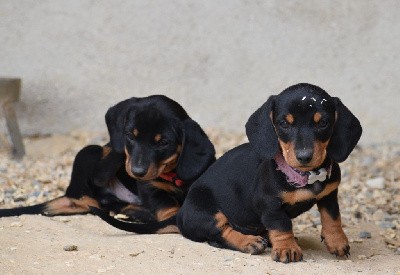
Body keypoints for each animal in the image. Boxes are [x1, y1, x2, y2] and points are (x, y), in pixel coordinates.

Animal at [0, 96, 216, 234]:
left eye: (163, 142)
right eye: (130, 136)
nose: (137, 172)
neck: (172, 175)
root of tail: (70, 193)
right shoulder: (151, 189)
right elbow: (167, 206)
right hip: (89, 152)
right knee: (96, 183)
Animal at [177, 83, 360, 264]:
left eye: (323, 122)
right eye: (284, 124)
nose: (304, 157)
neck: (306, 176)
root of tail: (181, 215)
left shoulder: (329, 195)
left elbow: (332, 217)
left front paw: (337, 241)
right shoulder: (270, 204)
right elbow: (281, 225)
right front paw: (287, 248)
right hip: (205, 213)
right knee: (220, 233)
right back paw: (249, 242)